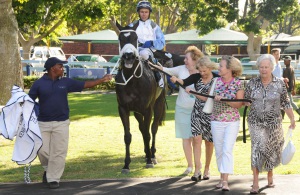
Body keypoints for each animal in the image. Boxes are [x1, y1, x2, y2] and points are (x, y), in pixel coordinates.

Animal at [115, 21, 166, 174]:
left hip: (158, 104)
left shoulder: (148, 109)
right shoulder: (123, 109)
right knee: (142, 128)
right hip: (137, 112)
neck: (132, 81)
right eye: (120, 39)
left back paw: (152, 155)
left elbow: (148, 133)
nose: (129, 56)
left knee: (153, 128)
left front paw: (149, 160)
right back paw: (146, 152)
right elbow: (128, 136)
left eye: (135, 38)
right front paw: (126, 165)